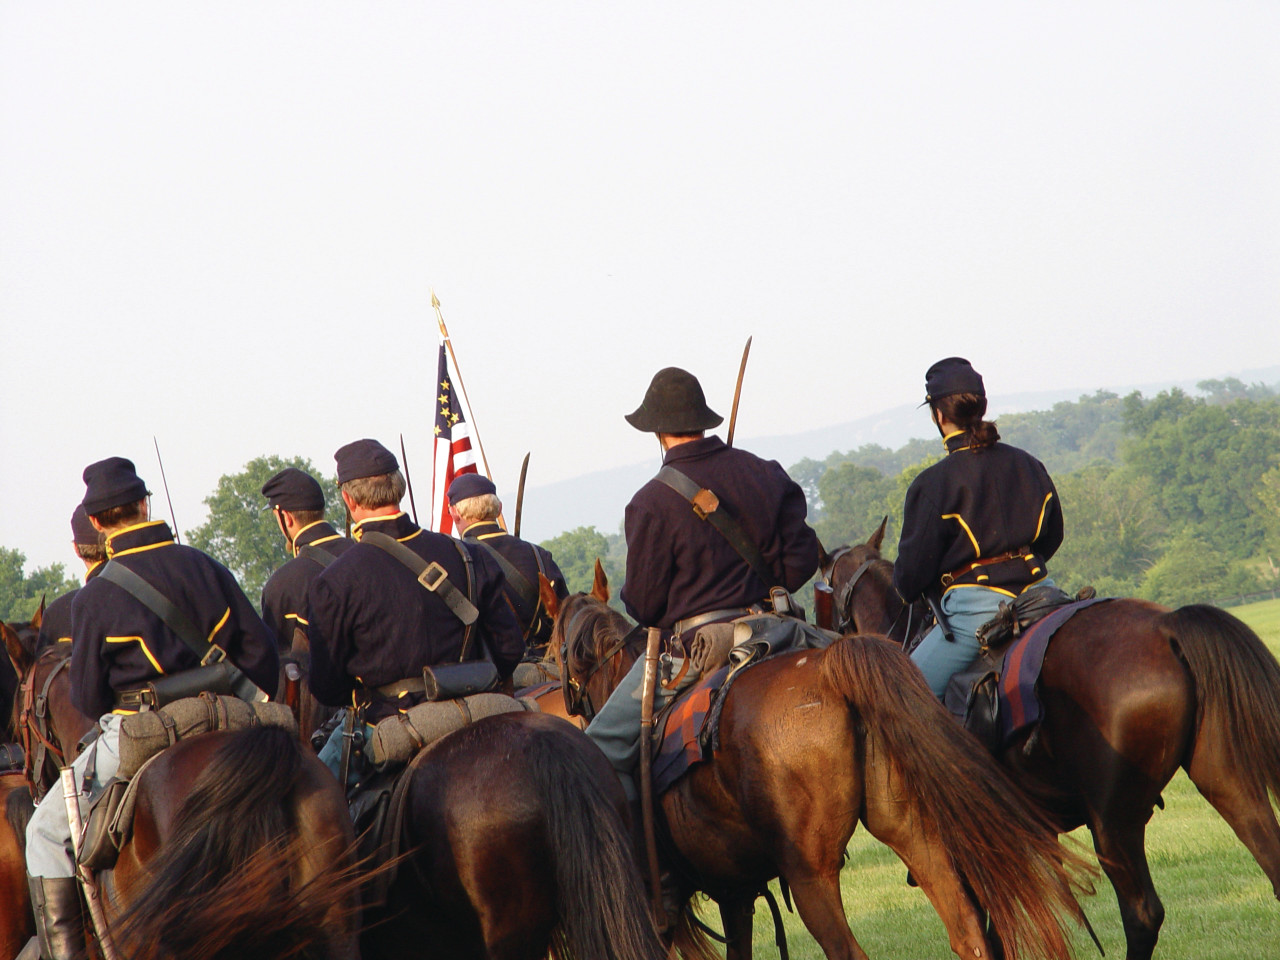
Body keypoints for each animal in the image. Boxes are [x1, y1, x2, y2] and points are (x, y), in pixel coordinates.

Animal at [545, 563, 1095, 960]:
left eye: (555, 647)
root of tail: (832, 667)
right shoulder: (735, 893)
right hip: (913, 834)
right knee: (968, 934)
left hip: (810, 875)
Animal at [824, 522, 1280, 960]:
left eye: (821, 591)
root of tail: (1166, 627)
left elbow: (987, 934)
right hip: (1225, 781)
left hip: (1112, 821)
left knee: (1142, 914)